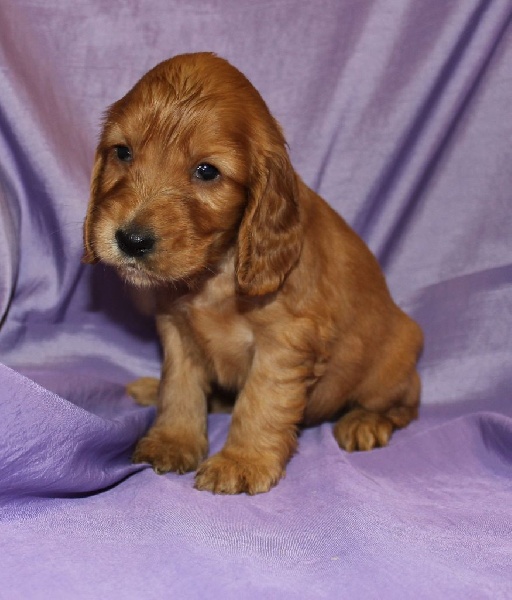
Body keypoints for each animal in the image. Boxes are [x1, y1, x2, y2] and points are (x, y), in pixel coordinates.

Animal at [82, 52, 422, 492]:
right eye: (123, 152)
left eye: (207, 171)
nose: (131, 240)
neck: (217, 272)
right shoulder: (176, 328)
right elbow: (179, 387)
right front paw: (173, 441)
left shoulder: (286, 343)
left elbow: (261, 401)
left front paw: (241, 461)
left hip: (392, 362)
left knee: (405, 403)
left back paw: (366, 421)